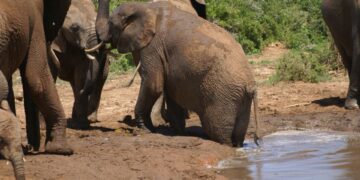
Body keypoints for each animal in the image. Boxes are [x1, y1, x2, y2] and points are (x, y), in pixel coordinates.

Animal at [94, 0, 260, 146]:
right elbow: (170, 90)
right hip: (238, 98)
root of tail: (251, 85)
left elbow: (153, 84)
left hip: (222, 93)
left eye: (110, 23)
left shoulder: (152, 46)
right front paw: (178, 132)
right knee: (237, 134)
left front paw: (146, 129)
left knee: (217, 131)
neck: (144, 8)